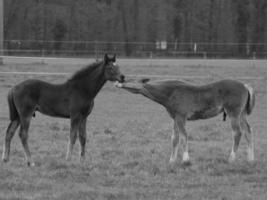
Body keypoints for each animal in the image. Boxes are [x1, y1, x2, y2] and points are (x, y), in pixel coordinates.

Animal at [115, 79, 258, 165]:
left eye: (130, 82)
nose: (117, 84)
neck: (171, 93)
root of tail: (245, 86)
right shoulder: (175, 118)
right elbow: (175, 138)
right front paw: (172, 161)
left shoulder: (181, 117)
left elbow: (184, 137)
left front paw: (185, 160)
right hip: (242, 114)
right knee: (248, 131)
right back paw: (251, 159)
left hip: (233, 113)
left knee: (237, 133)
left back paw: (231, 159)